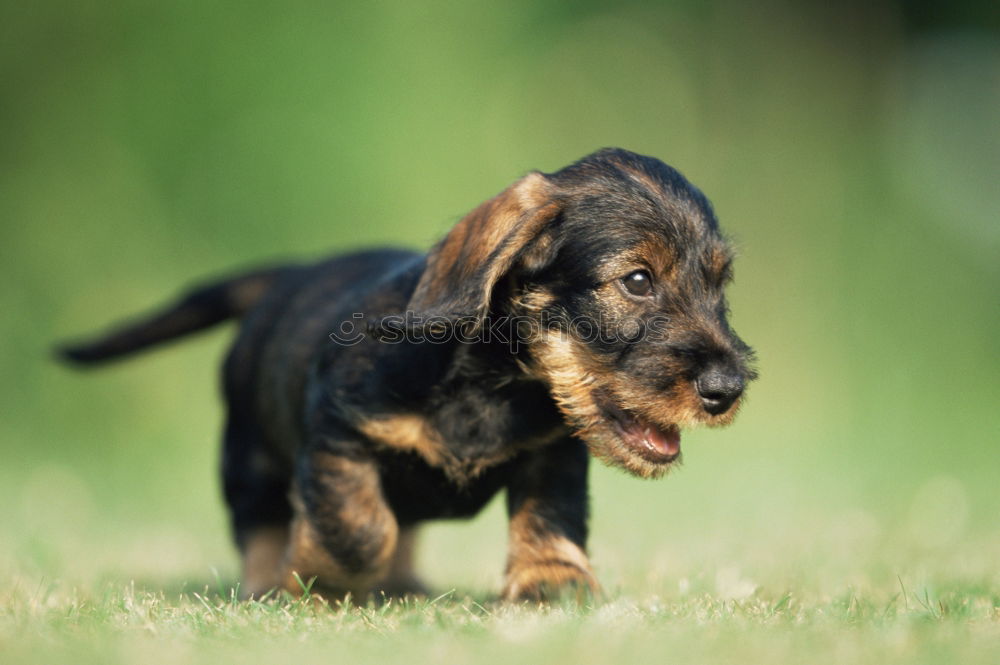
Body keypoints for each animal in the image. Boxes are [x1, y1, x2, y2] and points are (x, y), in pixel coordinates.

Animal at [60, 148, 752, 600]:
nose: (727, 389)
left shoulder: (552, 454)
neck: (489, 385)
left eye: (719, 286)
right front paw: (320, 580)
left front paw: (552, 582)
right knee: (260, 523)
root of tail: (288, 276)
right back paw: (267, 582)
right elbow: (359, 527)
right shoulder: (339, 434)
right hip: (247, 456)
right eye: (637, 280)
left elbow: (550, 516)